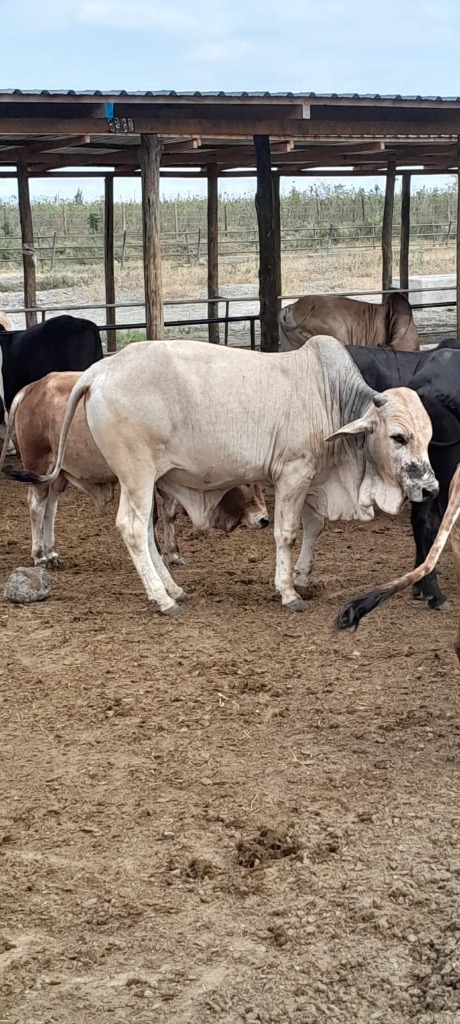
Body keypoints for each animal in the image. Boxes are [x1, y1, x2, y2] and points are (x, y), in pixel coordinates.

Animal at [1, 372, 269, 569]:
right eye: (246, 482)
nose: (264, 519)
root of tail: (34, 387)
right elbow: (153, 517)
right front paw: (158, 554)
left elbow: (169, 514)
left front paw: (173, 553)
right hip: (39, 465)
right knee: (36, 507)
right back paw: (39, 555)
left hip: (58, 475)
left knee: (50, 509)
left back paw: (52, 552)